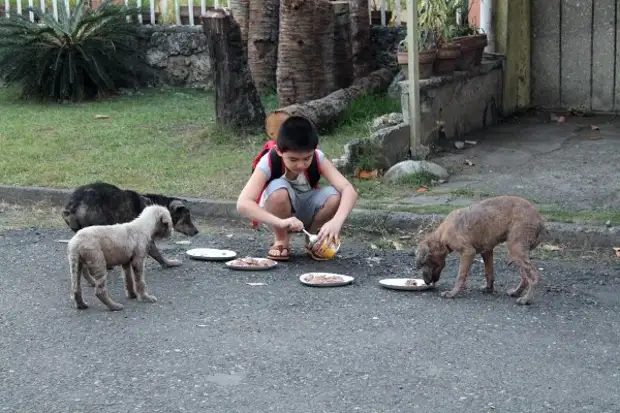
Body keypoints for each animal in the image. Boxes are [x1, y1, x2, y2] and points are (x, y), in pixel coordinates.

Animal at [416, 195, 548, 304]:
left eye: (423, 264)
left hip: (516, 249)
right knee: (525, 277)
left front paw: (452, 293)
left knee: (534, 277)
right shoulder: (487, 251)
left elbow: (460, 276)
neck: (441, 236)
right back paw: (517, 292)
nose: (426, 283)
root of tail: (539, 220)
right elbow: (489, 273)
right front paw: (489, 288)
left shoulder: (468, 252)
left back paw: (527, 299)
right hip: (519, 252)